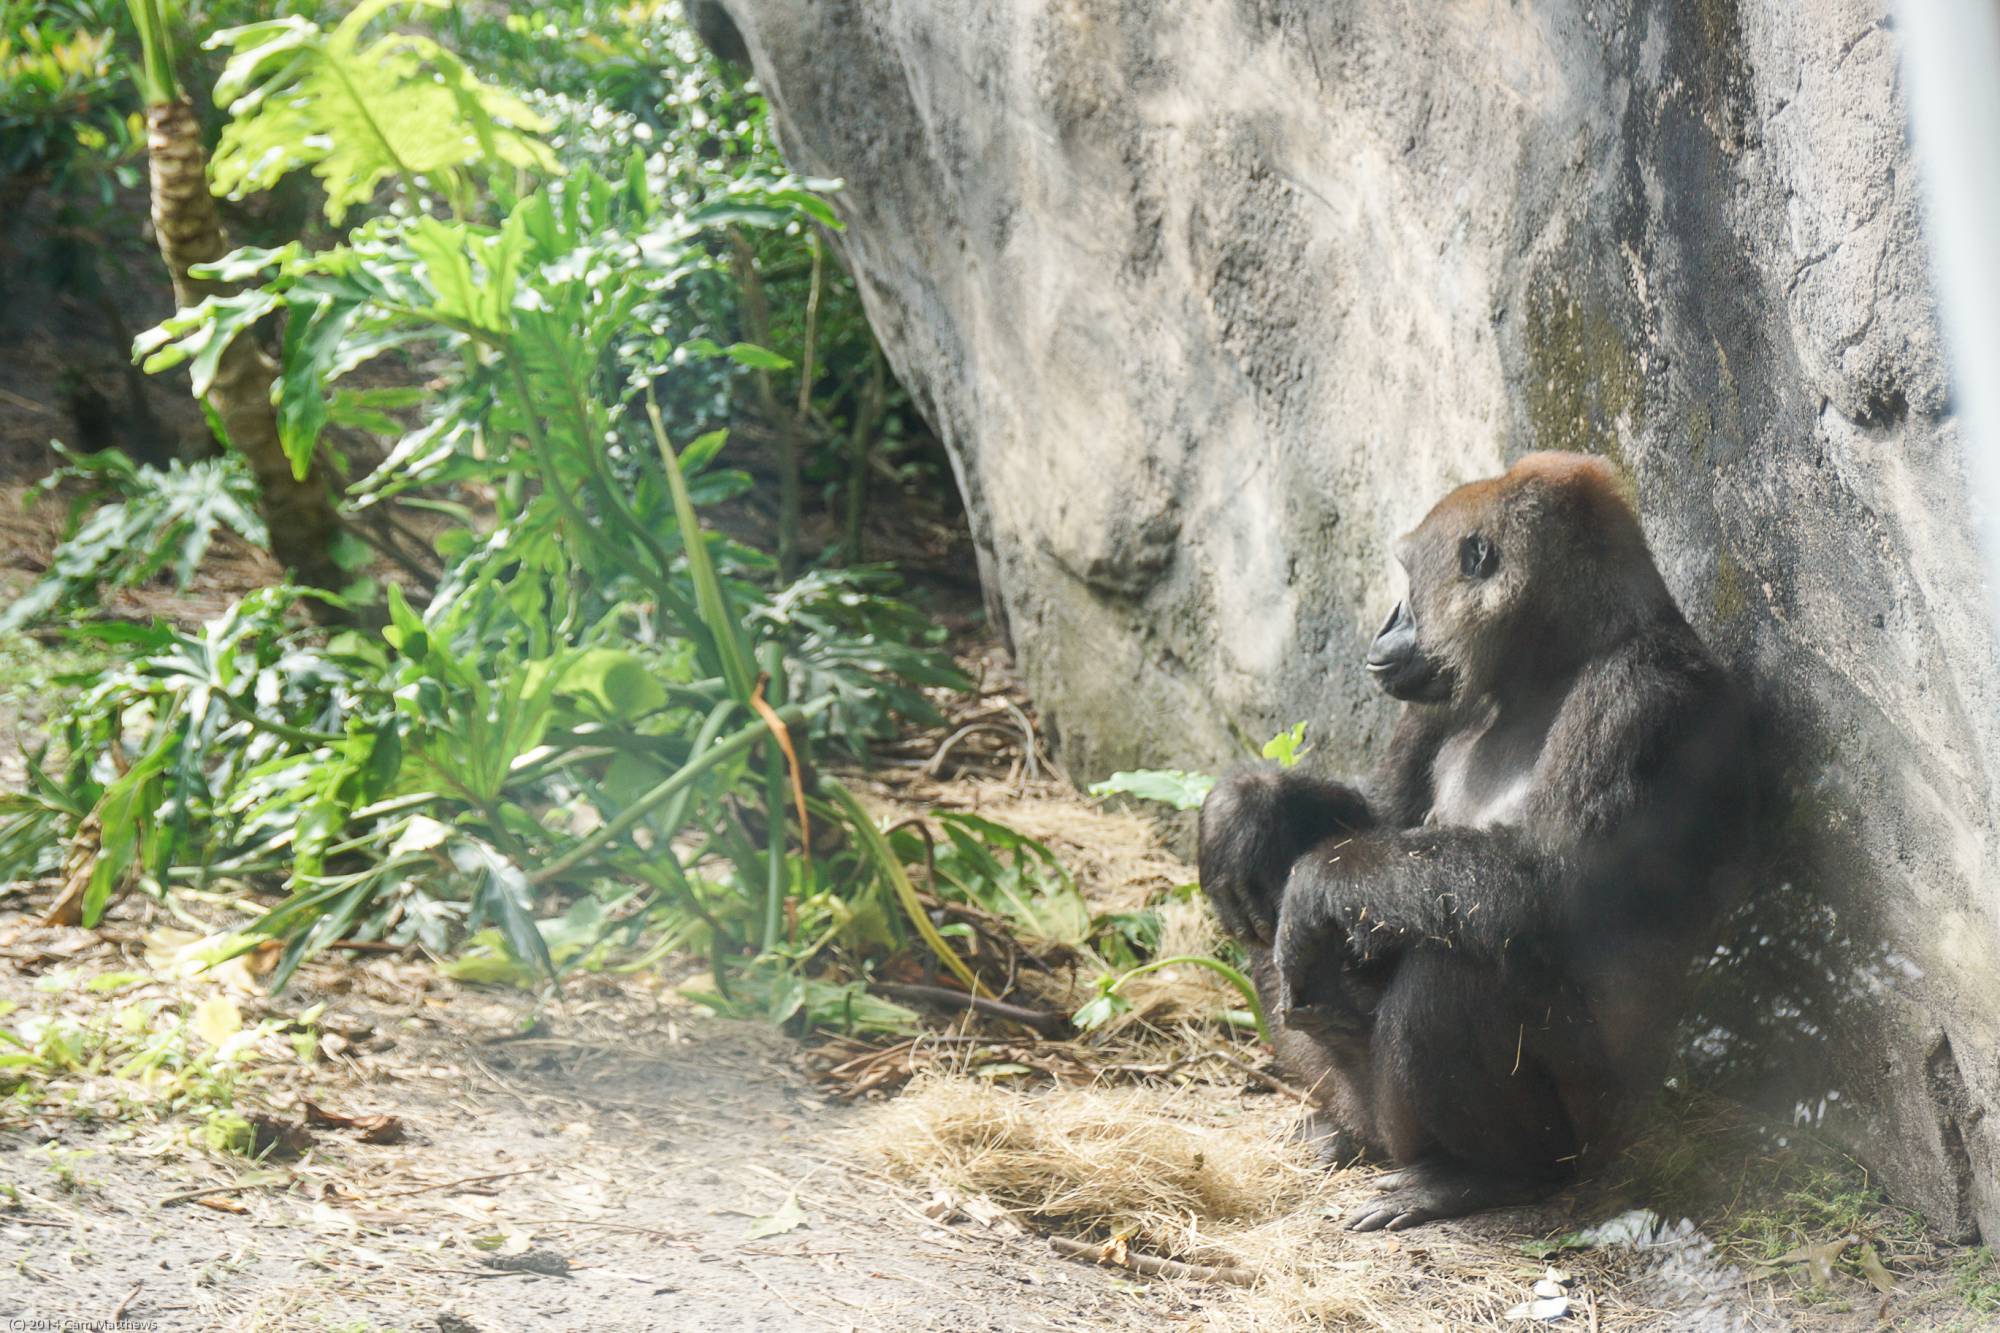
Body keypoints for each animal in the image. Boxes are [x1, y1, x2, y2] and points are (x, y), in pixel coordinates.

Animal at [1200, 452, 1752, 1232]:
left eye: (1408, 576)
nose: (1388, 622)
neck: (1558, 655)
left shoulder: (1641, 694)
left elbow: (1545, 885)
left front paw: (1314, 885)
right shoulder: (1444, 691)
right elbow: (1378, 814)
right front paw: (1245, 809)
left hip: (1601, 1136)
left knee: (1455, 967)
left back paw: (1483, 1175)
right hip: (1372, 1106)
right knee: (1264, 906)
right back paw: (1346, 1124)